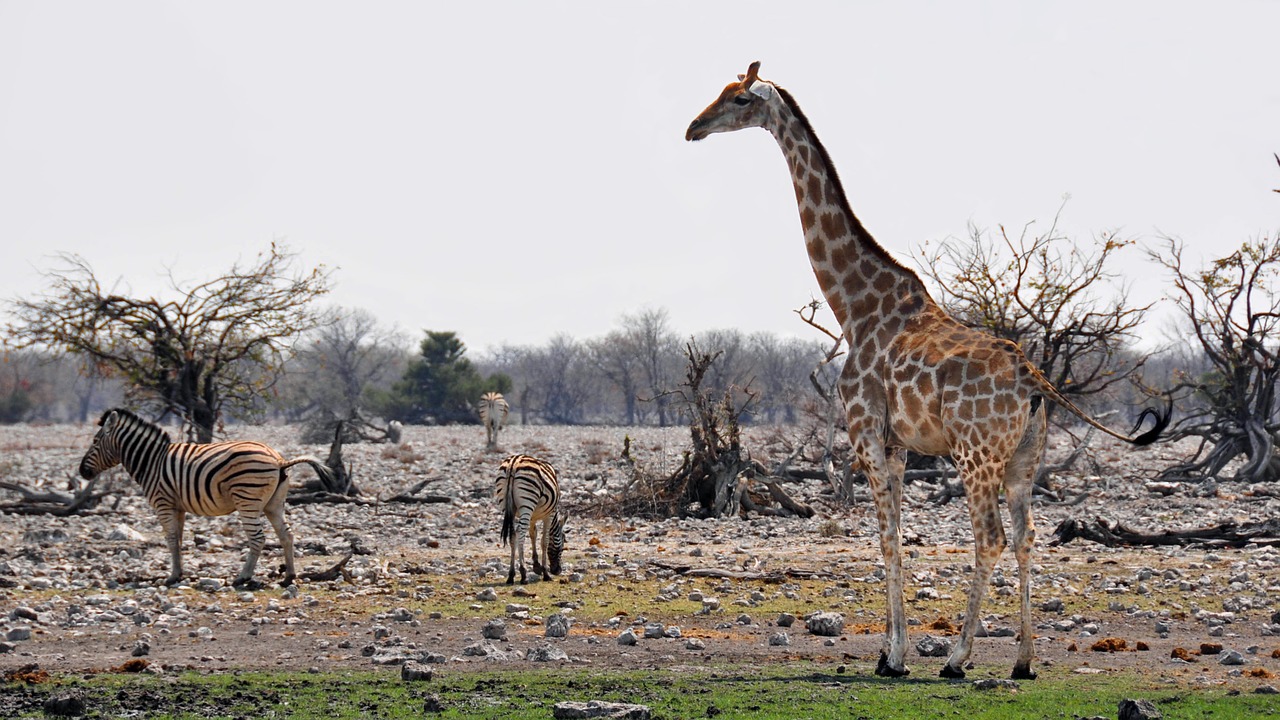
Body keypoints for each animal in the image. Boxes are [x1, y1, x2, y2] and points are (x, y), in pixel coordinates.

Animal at [76, 407, 332, 586]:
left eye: (95, 441)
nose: (82, 472)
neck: (151, 461)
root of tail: (279, 459)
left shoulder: (162, 502)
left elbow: (170, 539)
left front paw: (172, 576)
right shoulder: (177, 506)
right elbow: (178, 540)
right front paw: (179, 573)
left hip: (247, 499)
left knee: (258, 538)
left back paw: (243, 577)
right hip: (274, 504)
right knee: (286, 535)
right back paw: (289, 576)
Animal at [494, 453, 565, 584]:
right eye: (563, 546)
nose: (557, 571)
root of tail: (514, 463)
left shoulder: (533, 517)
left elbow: (533, 534)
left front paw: (536, 565)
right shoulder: (549, 514)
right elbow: (544, 541)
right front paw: (545, 572)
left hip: (508, 506)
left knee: (513, 535)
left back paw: (511, 575)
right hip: (528, 502)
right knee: (520, 534)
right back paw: (523, 574)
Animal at [691, 61, 1172, 676]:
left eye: (740, 98)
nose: (694, 128)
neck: (855, 308)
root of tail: (1034, 380)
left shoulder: (867, 433)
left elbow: (887, 537)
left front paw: (894, 656)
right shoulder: (897, 443)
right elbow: (896, 534)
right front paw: (891, 650)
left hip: (974, 453)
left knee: (990, 538)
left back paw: (959, 658)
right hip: (1024, 460)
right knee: (1026, 536)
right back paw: (1023, 660)